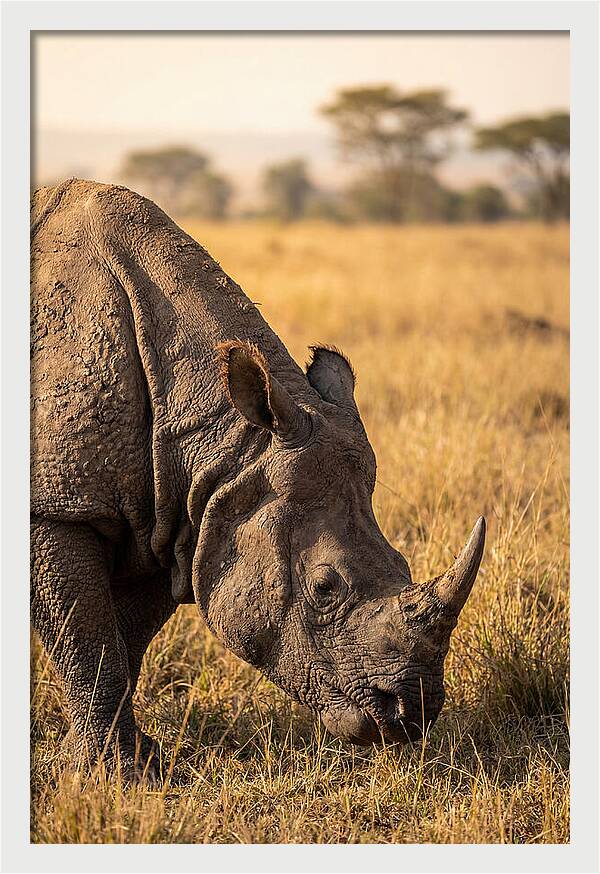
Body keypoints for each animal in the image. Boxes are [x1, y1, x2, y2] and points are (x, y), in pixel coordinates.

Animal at [31, 179, 485, 779]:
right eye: (324, 589)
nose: (411, 715)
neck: (224, 442)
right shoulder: (58, 507)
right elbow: (92, 648)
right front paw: (117, 777)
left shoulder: (173, 517)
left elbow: (122, 644)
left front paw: (125, 764)